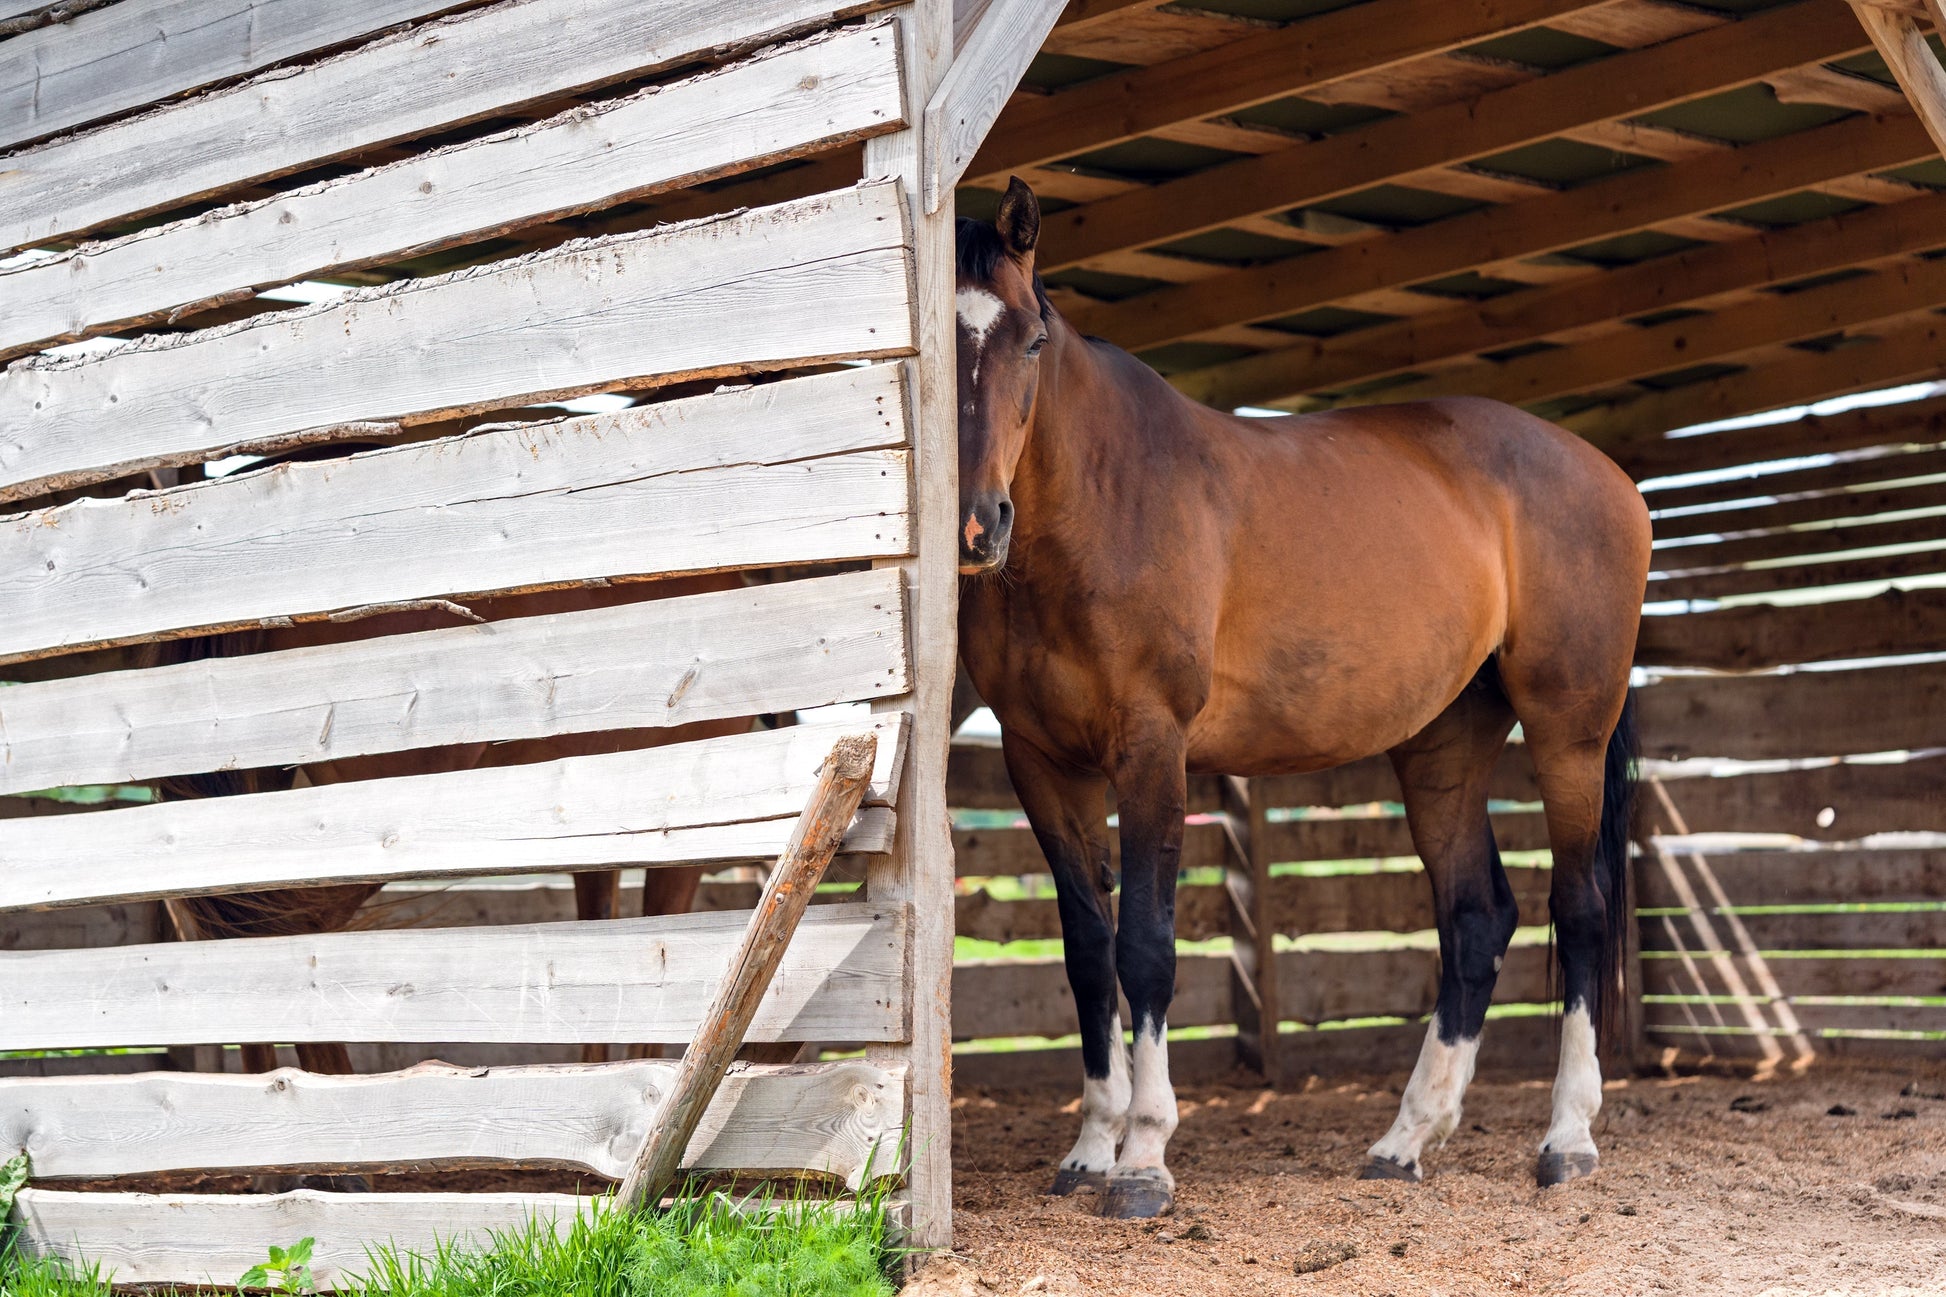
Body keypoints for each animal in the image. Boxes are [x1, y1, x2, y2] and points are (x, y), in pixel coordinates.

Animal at [954, 178, 1650, 1219]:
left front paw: (1144, 1157)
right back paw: (1406, 1138)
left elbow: (1146, 946)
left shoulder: (1153, 748)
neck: (1102, 501)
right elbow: (1086, 951)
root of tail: (1614, 479)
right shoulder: (1041, 762)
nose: (979, 524)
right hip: (1444, 743)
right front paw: (1088, 1149)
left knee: (1583, 906)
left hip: (1569, 728)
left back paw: (1566, 1138)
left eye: (1032, 340)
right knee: (1476, 915)